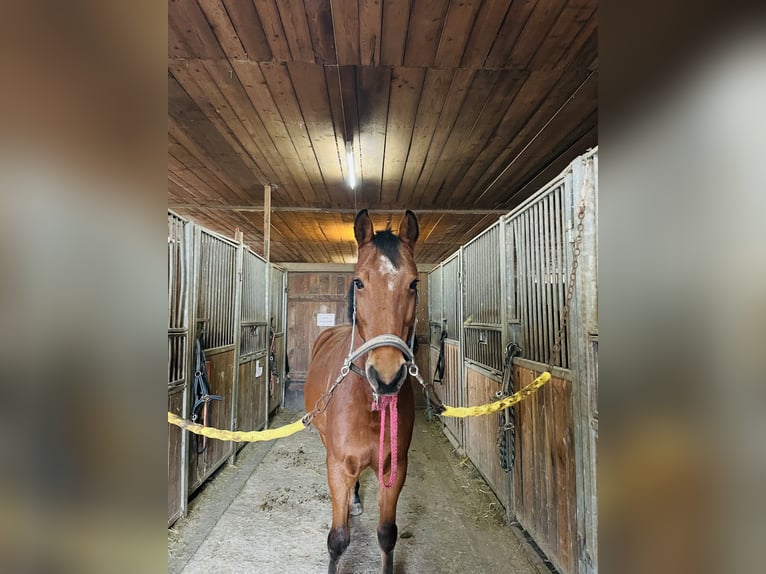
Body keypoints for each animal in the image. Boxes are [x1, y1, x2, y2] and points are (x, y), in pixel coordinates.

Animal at [306, 212, 424, 574]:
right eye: (359, 282)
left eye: (414, 284)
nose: (386, 376)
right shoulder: (337, 465)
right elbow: (338, 539)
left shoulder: (395, 468)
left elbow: (386, 534)